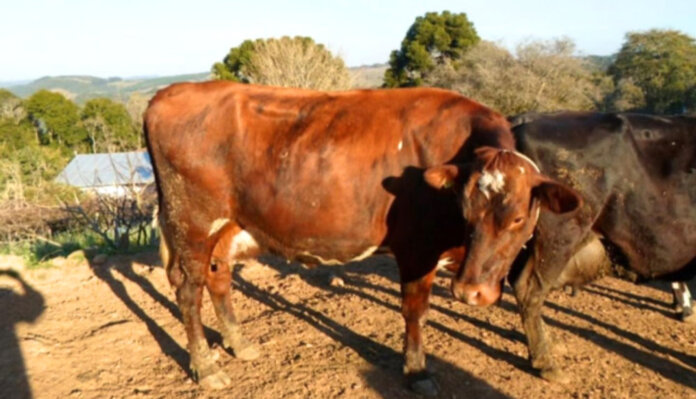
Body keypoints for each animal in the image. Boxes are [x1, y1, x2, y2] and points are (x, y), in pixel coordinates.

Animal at [143, 80, 516, 394]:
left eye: (519, 218)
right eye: (467, 210)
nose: (474, 292)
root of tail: (172, 91)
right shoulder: (417, 249)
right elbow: (415, 312)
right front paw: (417, 372)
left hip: (226, 225)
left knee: (218, 275)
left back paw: (240, 344)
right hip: (191, 223)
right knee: (189, 291)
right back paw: (206, 368)